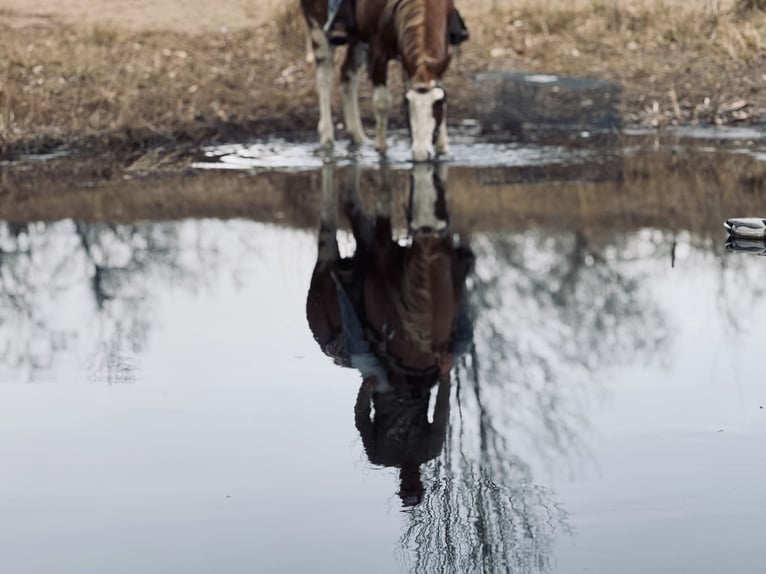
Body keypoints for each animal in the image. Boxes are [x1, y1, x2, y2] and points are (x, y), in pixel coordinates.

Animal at [301, 0, 459, 162]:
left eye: (439, 102)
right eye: (408, 102)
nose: (421, 153)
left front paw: (442, 146)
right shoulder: (378, 52)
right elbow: (382, 102)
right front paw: (381, 147)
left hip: (358, 38)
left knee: (348, 75)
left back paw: (358, 137)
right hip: (318, 27)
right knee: (324, 77)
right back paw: (327, 137)